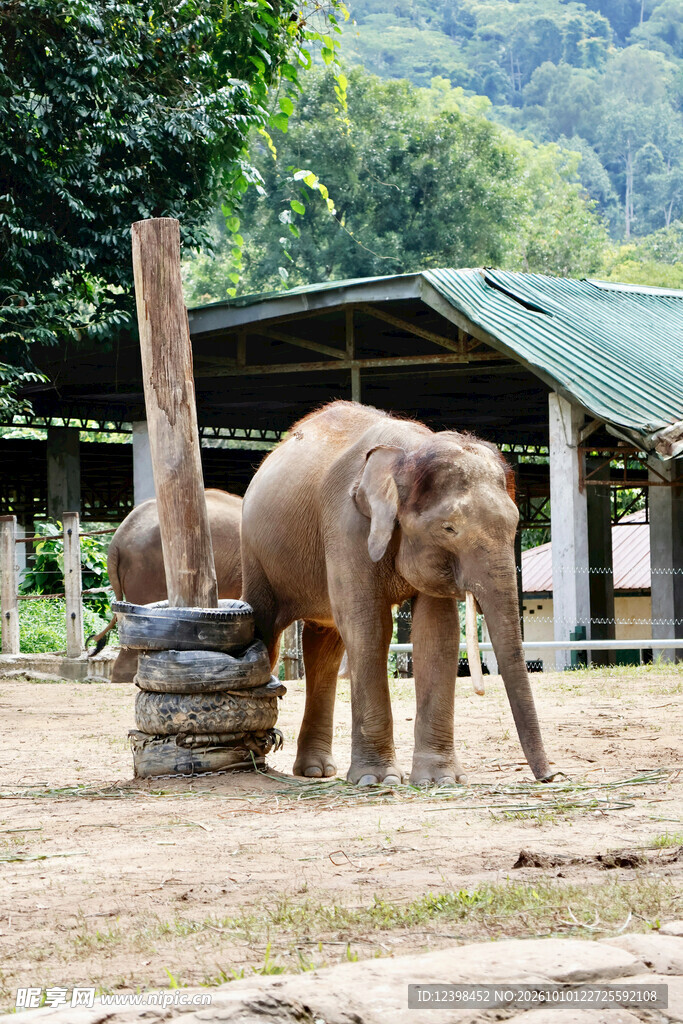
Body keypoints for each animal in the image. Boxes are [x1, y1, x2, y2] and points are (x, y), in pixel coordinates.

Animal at [241, 400, 552, 786]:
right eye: (449, 528)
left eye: (515, 526)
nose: (549, 777)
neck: (409, 452)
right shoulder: (345, 524)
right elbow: (369, 626)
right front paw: (378, 780)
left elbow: (437, 632)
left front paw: (439, 780)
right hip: (256, 553)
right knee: (267, 633)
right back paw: (260, 758)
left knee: (325, 648)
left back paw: (316, 771)